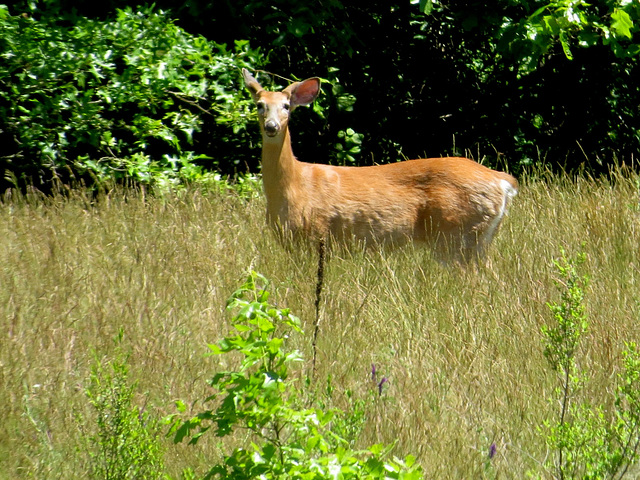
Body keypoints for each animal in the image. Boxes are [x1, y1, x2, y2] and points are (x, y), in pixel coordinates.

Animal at [242, 67, 516, 262]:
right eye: (259, 105)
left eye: (286, 106)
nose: (272, 126)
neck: (295, 185)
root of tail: (502, 181)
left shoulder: (316, 236)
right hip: (478, 238)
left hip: (457, 233)